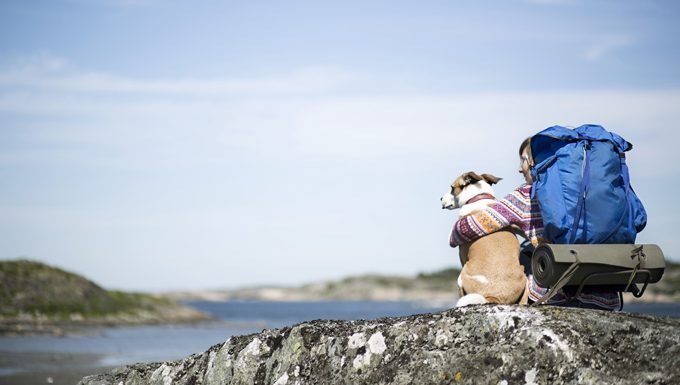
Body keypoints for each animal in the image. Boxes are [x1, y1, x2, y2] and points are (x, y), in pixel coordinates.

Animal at [440, 171, 532, 306]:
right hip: (524, 275)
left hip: (462, 275)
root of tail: (494, 297)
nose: (440, 198)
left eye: (452, 188)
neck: (478, 197)